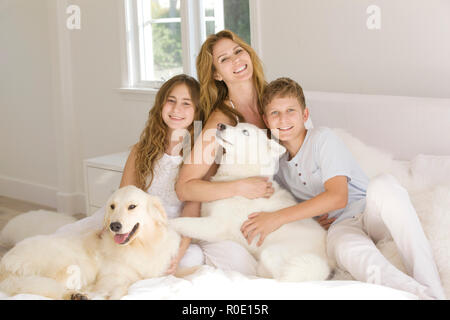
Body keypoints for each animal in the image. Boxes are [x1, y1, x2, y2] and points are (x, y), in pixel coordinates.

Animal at [1, 185, 182, 300]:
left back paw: (76, 295)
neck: (142, 246)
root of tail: (5, 262)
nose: (114, 226)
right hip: (65, 263)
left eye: (132, 206)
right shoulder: (111, 278)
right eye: (112, 206)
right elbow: (120, 290)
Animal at [171, 124, 332, 282]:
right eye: (236, 124)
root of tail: (327, 261)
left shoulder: (216, 225)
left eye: (245, 132)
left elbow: (182, 221)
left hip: (275, 254)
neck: (241, 177)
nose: (221, 125)